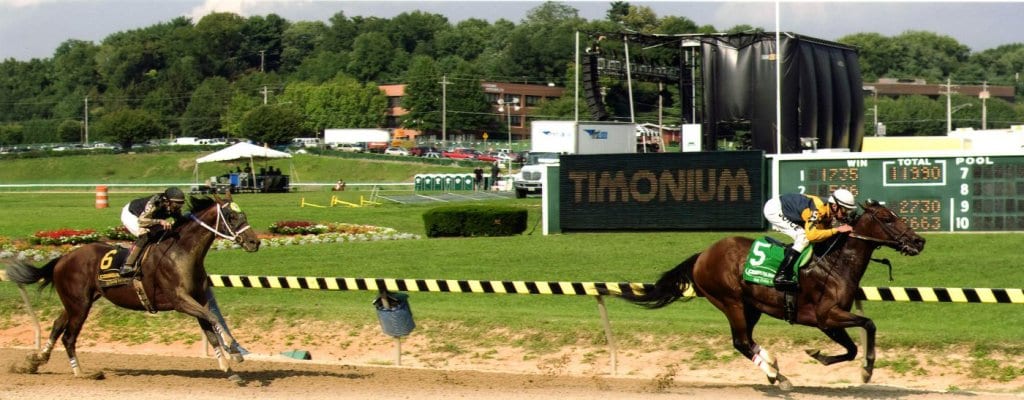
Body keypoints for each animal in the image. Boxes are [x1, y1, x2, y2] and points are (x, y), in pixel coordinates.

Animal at [5, 195, 260, 380]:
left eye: (243, 214)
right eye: (231, 216)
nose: (254, 242)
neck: (181, 253)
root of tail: (63, 258)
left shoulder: (198, 298)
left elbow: (211, 328)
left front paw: (230, 366)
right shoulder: (180, 300)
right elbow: (213, 319)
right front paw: (233, 350)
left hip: (75, 302)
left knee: (58, 325)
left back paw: (36, 361)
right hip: (79, 304)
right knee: (69, 336)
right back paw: (81, 373)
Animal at [614, 202, 929, 390]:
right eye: (887, 218)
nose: (919, 241)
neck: (835, 263)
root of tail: (702, 255)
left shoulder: (828, 321)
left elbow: (852, 347)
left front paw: (822, 357)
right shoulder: (825, 316)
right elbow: (868, 325)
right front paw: (866, 369)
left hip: (751, 306)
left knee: (746, 341)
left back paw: (775, 370)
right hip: (730, 301)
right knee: (741, 342)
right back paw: (777, 374)